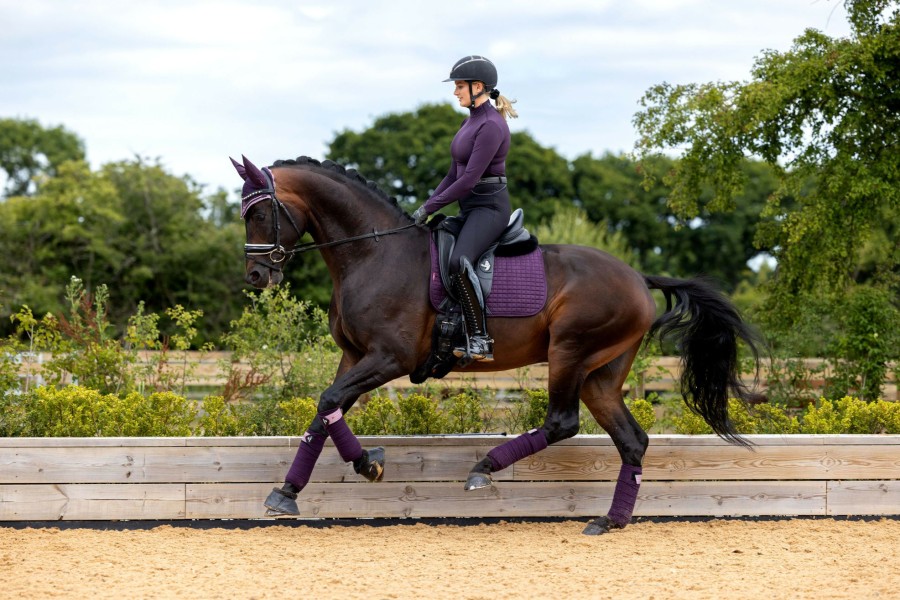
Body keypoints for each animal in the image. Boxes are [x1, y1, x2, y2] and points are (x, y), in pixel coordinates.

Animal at [232, 154, 760, 536]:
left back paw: (484, 467)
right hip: (600, 374)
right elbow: (324, 410)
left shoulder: (389, 358)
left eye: (259, 212)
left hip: (569, 352)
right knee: (631, 439)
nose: (256, 276)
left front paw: (366, 464)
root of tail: (637, 276)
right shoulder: (354, 356)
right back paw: (609, 521)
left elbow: (329, 402)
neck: (371, 251)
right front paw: (289, 491)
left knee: (562, 422)